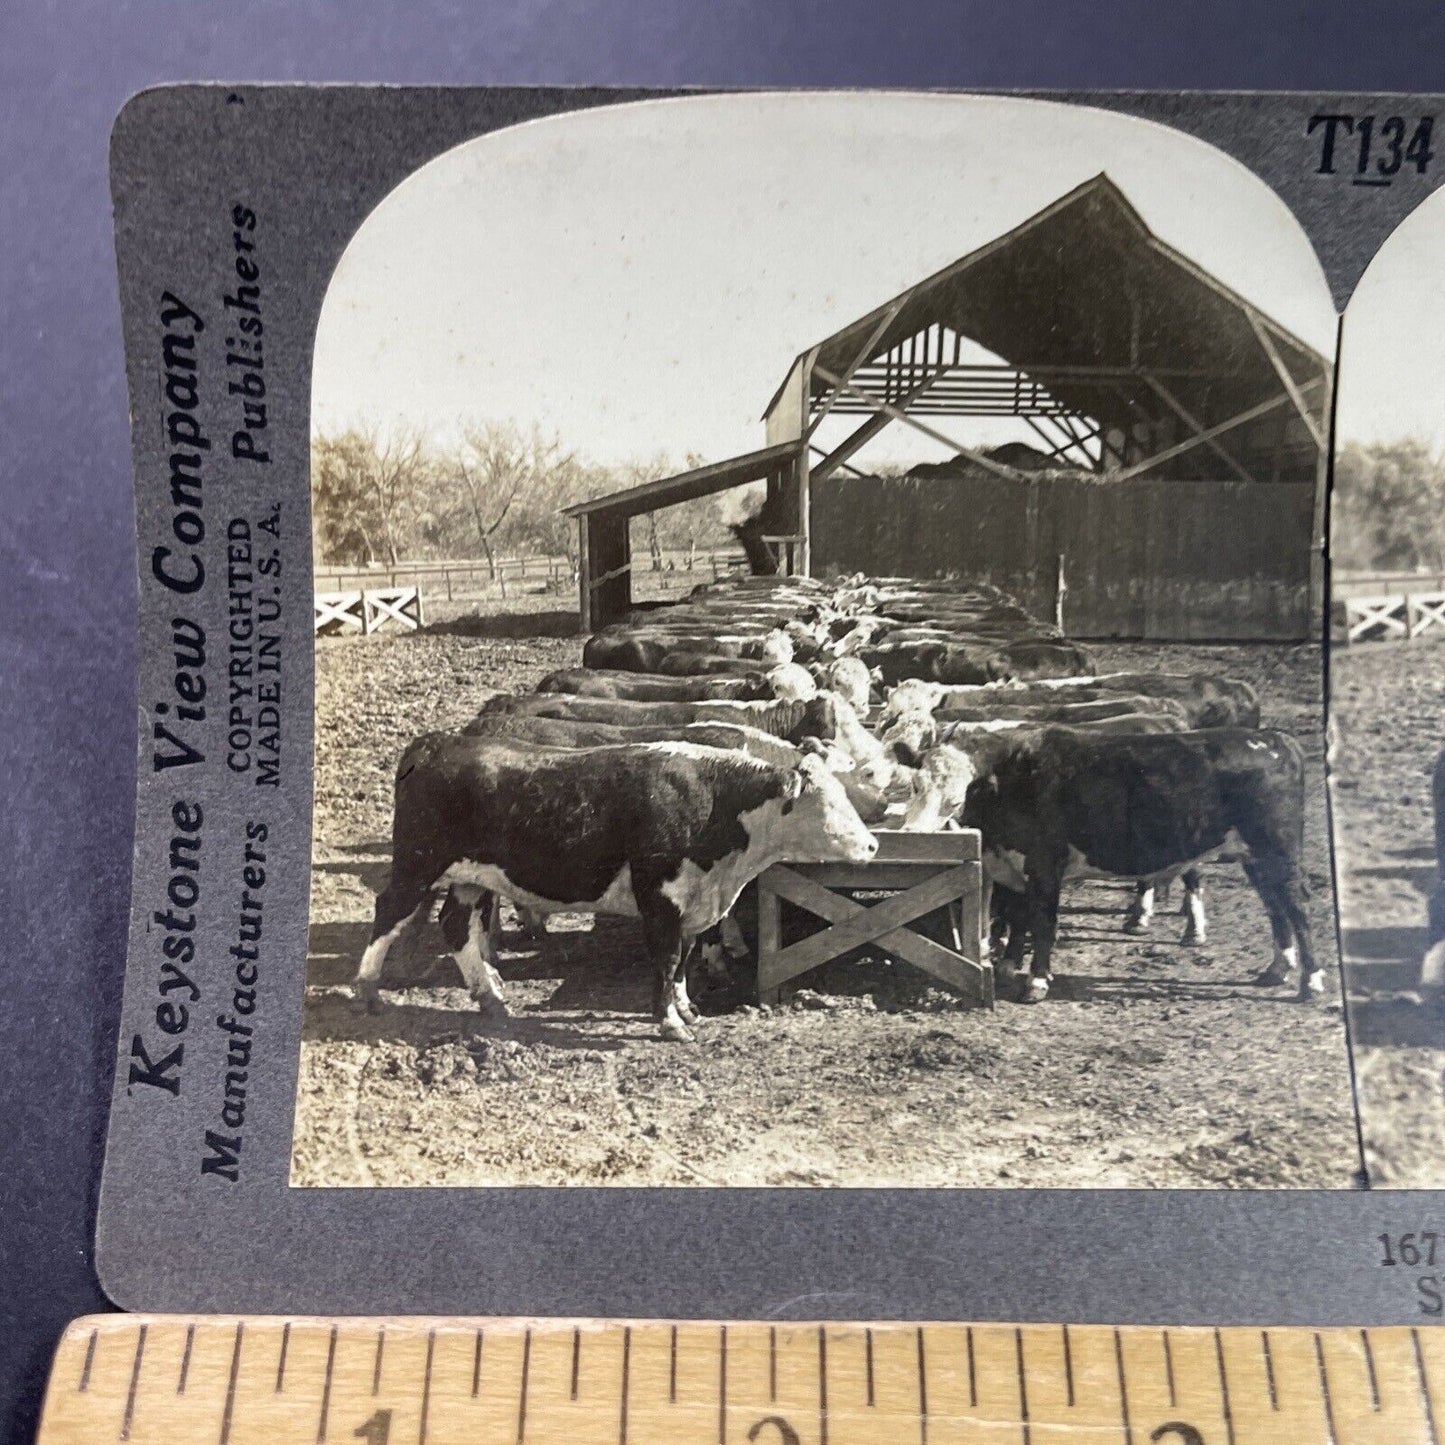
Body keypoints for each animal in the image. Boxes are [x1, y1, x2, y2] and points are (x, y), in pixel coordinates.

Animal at [351, 734, 872, 1040]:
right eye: (827, 803)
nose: (871, 844)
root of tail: (436, 743)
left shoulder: (693, 905)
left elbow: (683, 960)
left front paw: (687, 1009)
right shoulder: (661, 898)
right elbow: (666, 959)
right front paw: (669, 1023)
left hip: (469, 878)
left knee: (456, 926)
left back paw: (491, 997)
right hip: (418, 865)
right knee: (388, 912)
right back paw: (368, 991)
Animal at [901, 728, 1323, 999]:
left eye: (957, 798)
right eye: (916, 785)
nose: (914, 835)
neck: (1013, 779)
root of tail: (1275, 739)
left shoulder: (1046, 863)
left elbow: (1043, 921)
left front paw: (1037, 981)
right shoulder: (1014, 866)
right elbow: (1018, 916)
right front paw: (1007, 966)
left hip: (1279, 850)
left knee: (1297, 906)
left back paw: (1312, 981)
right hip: (1257, 857)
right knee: (1275, 905)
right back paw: (1277, 969)